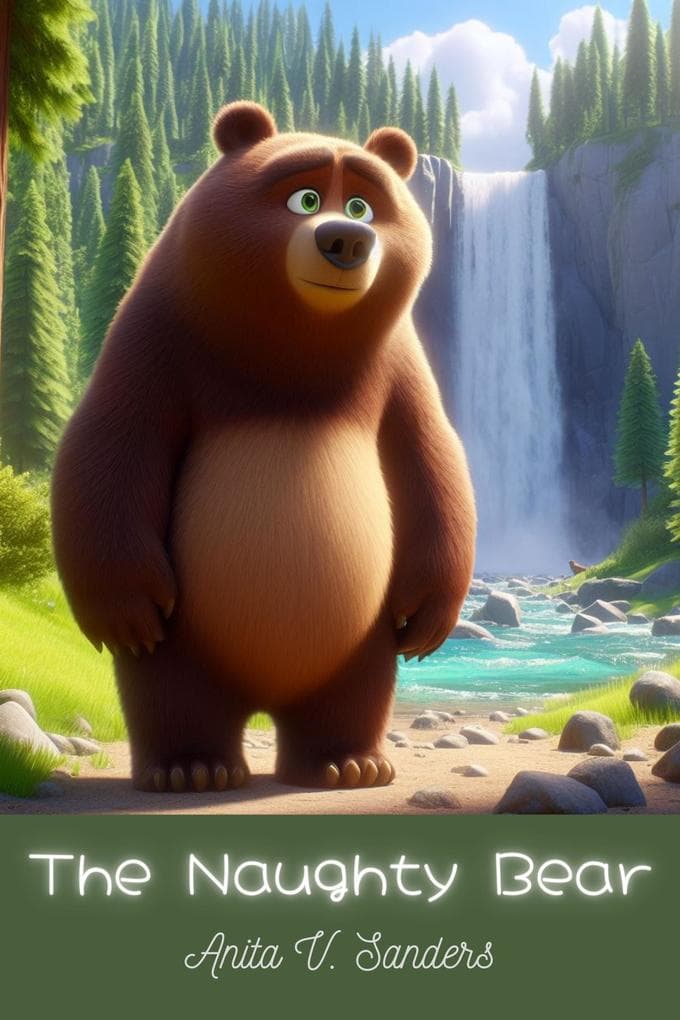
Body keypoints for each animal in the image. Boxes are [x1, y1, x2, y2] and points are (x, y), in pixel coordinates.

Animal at [51, 102, 476, 794]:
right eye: (304, 197)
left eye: (362, 204)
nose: (346, 241)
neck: (292, 360)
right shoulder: (156, 343)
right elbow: (110, 445)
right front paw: (123, 608)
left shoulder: (396, 371)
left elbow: (431, 461)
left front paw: (431, 618)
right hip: (194, 639)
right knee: (171, 691)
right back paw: (191, 768)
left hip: (357, 638)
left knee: (355, 691)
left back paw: (347, 763)